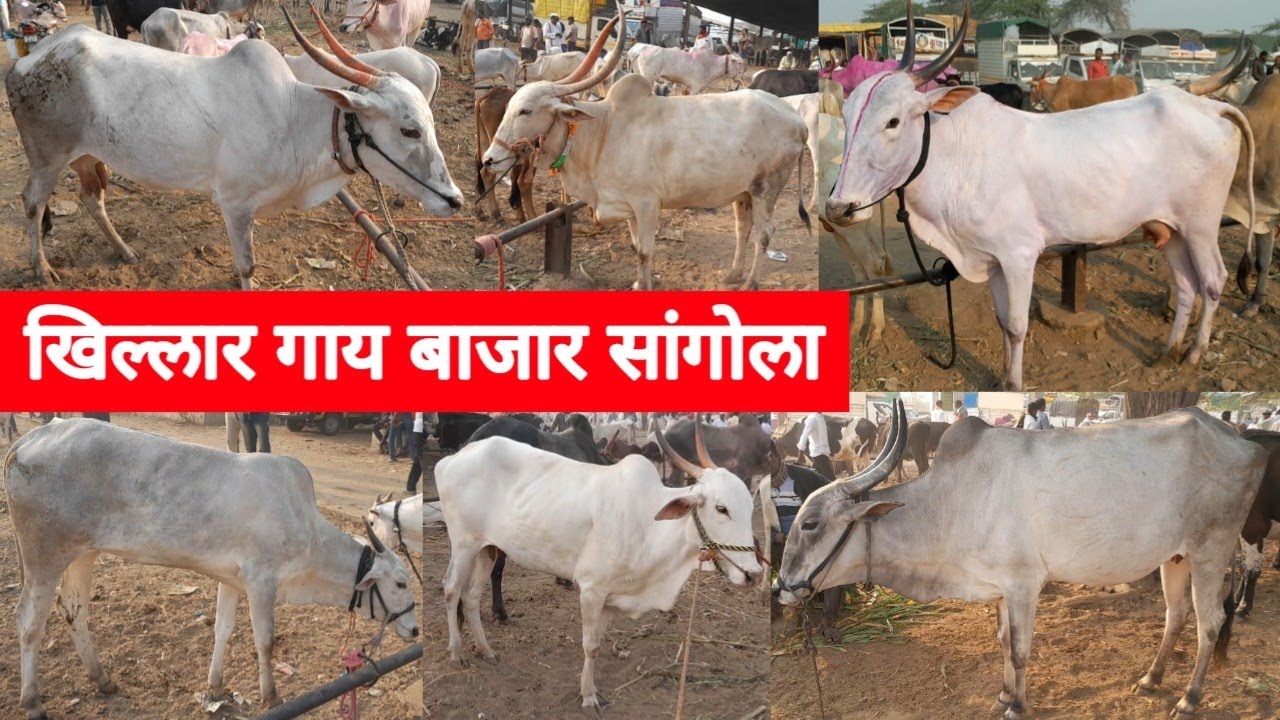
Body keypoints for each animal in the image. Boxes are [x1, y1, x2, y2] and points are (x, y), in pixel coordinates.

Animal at [5, 419, 419, 718]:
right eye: (400, 582)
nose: (414, 629)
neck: (308, 531)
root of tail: (34, 437)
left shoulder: (232, 580)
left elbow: (223, 629)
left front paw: (216, 685)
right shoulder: (262, 583)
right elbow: (265, 641)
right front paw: (271, 695)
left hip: (81, 554)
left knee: (74, 611)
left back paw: (102, 679)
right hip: (44, 558)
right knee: (28, 622)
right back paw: (32, 702)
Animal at [438, 423, 762, 711]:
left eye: (749, 506)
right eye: (721, 508)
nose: (754, 574)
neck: (648, 524)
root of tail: (453, 458)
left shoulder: (609, 597)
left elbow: (598, 645)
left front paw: (588, 688)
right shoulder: (592, 590)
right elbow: (590, 646)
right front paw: (589, 696)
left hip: (488, 549)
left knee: (472, 597)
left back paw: (486, 650)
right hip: (464, 544)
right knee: (452, 590)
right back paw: (457, 652)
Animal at [483, 14, 810, 290]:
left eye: (526, 110)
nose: (489, 158)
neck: (603, 132)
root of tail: (796, 119)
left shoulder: (648, 204)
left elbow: (644, 252)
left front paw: (645, 285)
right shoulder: (628, 207)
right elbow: (636, 246)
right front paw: (639, 284)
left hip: (766, 189)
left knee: (764, 235)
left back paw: (750, 283)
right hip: (743, 192)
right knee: (743, 229)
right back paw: (734, 273)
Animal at [775, 401, 1267, 720]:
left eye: (810, 523)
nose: (781, 588)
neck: (952, 501)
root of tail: (1245, 442)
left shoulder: (1024, 585)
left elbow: (1020, 649)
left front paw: (1017, 705)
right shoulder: (1000, 591)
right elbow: (1003, 643)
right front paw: (1002, 695)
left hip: (1212, 550)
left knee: (1210, 623)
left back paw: (1190, 698)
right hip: (1176, 556)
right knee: (1176, 615)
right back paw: (1152, 679)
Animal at [824, 3, 1255, 391]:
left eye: (892, 121)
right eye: (845, 117)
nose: (838, 206)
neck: (956, 155)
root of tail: (1209, 106)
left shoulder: (1019, 254)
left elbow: (1017, 326)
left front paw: (1014, 386)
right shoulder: (992, 260)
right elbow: (1002, 323)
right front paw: (1001, 380)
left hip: (1201, 225)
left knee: (1213, 281)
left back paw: (1195, 353)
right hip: (1170, 227)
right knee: (1185, 286)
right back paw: (1168, 351)